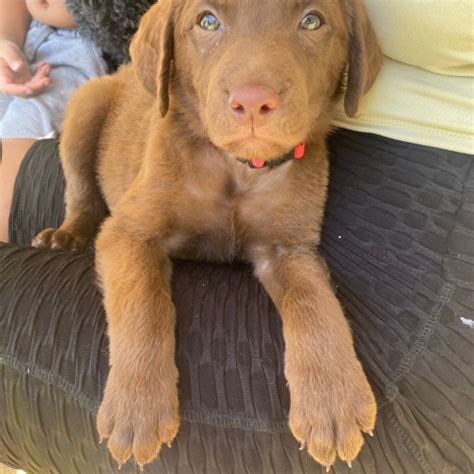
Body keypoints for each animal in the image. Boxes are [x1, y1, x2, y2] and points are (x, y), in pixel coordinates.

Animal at [32, 0, 382, 468]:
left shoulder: (288, 248)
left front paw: (332, 400)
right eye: (208, 21)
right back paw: (66, 235)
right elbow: (143, 306)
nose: (252, 102)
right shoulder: (128, 233)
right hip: (86, 108)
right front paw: (137, 409)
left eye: (312, 21)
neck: (237, 168)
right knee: (82, 192)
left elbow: (315, 305)